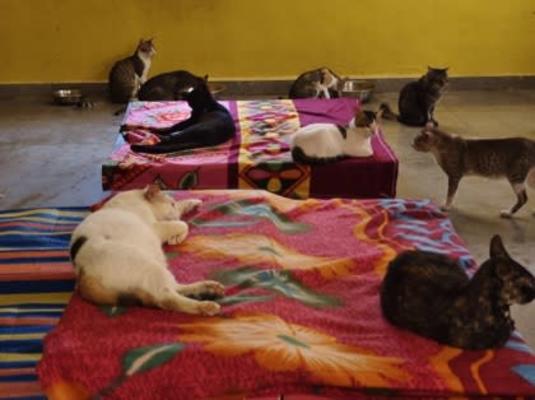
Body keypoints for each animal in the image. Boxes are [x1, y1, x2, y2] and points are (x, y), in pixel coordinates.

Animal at [69, 184, 224, 316]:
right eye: (171, 204)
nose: (174, 210)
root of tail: (82, 274)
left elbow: (182, 213)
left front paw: (192, 203)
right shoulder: (157, 227)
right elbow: (182, 224)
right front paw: (177, 237)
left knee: (174, 288)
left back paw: (209, 288)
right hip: (148, 265)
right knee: (166, 298)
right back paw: (206, 305)